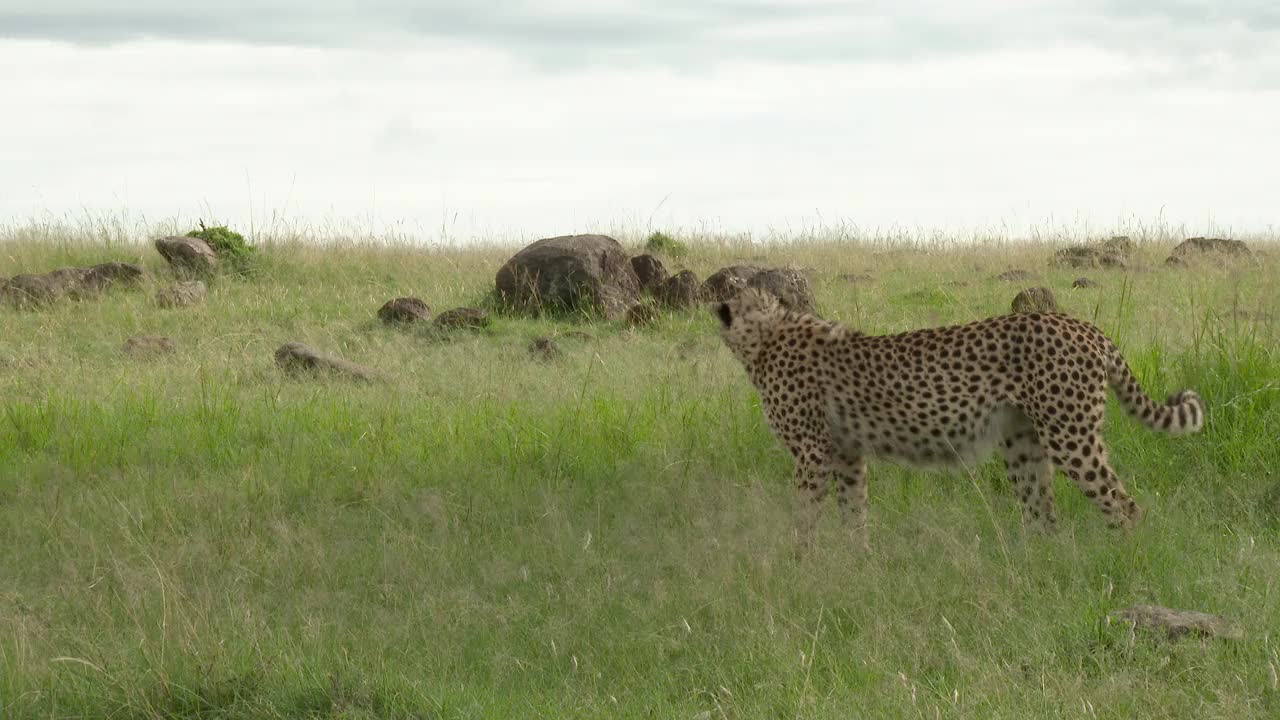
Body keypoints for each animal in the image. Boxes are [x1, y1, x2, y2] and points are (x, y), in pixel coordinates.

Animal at [716, 288, 1203, 545]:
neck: (763, 336)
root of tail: (1081, 324)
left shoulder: (812, 453)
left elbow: (805, 516)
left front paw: (802, 567)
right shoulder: (847, 453)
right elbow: (854, 513)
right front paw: (856, 565)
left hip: (1070, 436)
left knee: (1123, 505)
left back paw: (1123, 559)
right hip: (1023, 443)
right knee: (1043, 513)